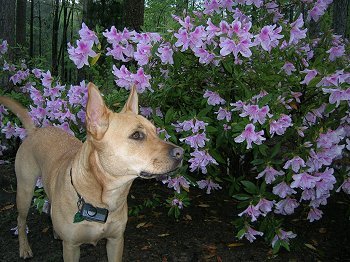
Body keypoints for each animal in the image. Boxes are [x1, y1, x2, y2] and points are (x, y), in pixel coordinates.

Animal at [0, 83, 185, 260]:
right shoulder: (71, 247)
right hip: (24, 191)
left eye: (156, 131)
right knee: (21, 220)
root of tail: (35, 130)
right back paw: (24, 247)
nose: (181, 153)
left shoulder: (116, 241)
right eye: (137, 135)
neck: (105, 197)